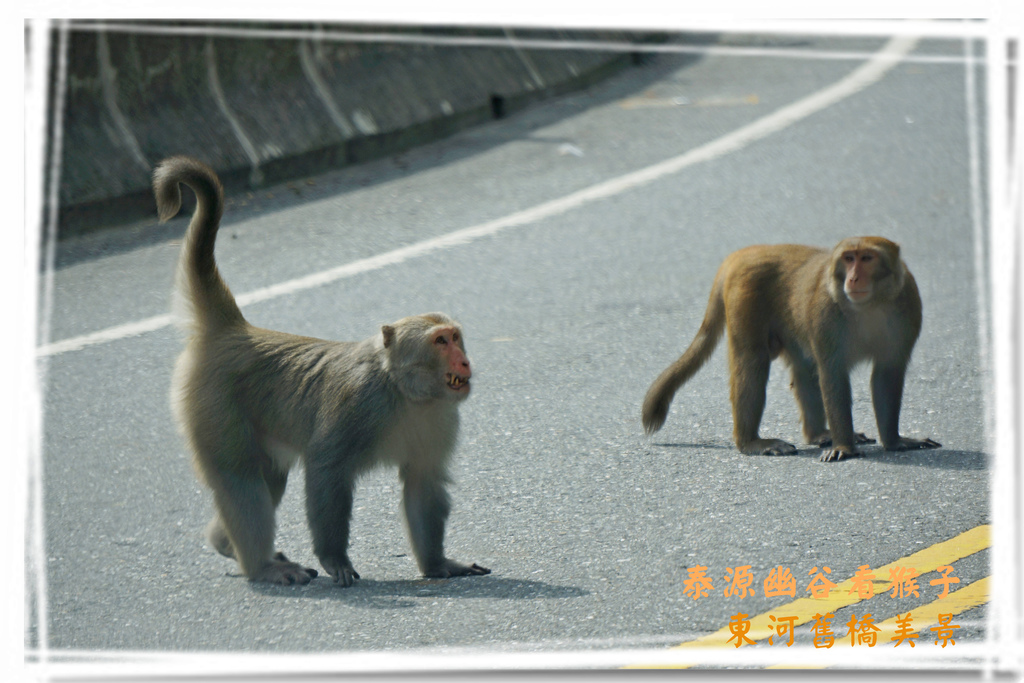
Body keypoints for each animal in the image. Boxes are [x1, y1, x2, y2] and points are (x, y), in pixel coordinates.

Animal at [153, 156, 490, 585]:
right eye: (441, 342)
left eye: (457, 337)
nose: (464, 360)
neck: (404, 392)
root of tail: (235, 330)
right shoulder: (358, 403)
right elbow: (326, 468)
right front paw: (336, 560)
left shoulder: (441, 419)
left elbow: (422, 482)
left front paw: (437, 564)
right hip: (213, 406)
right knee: (241, 476)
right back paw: (262, 567)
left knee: (267, 476)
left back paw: (226, 545)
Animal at [641, 236, 941, 463]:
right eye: (849, 258)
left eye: (867, 258)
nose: (854, 279)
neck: (870, 306)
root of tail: (744, 253)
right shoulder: (826, 311)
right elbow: (833, 373)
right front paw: (844, 448)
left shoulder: (908, 303)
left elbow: (886, 374)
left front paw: (895, 441)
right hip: (745, 296)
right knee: (752, 362)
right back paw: (752, 442)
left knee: (804, 367)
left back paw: (819, 434)